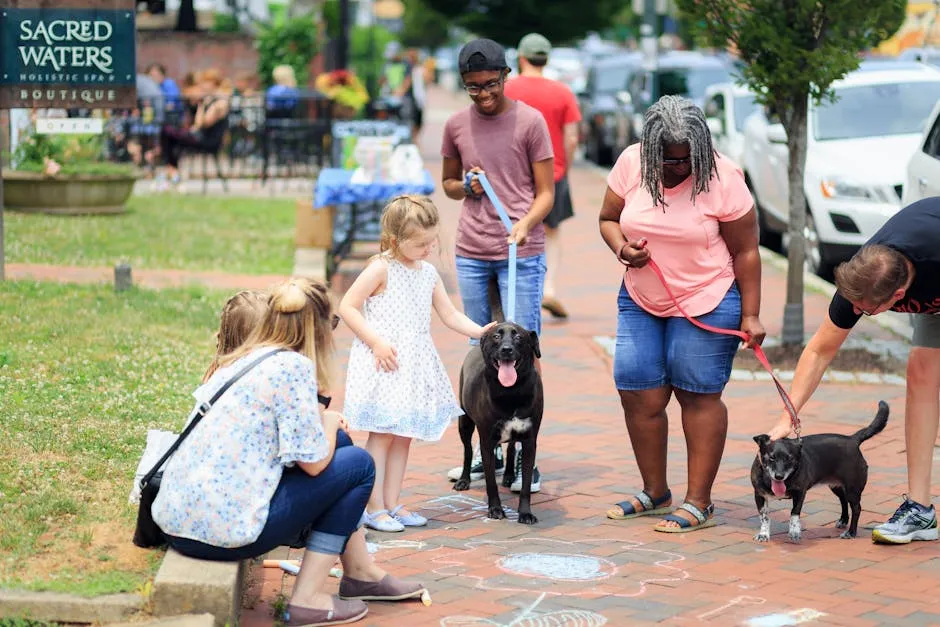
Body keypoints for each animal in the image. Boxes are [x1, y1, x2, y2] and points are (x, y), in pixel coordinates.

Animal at [456, 324, 544, 524]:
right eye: (496, 336)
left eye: (519, 337)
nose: (506, 350)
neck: (511, 391)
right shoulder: (487, 442)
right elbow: (491, 483)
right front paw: (495, 509)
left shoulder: (530, 441)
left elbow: (526, 484)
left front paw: (525, 513)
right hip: (464, 422)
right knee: (467, 451)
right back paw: (464, 479)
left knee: (511, 447)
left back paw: (509, 475)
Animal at [748, 402, 888, 544]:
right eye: (771, 458)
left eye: (790, 458)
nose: (779, 476)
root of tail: (853, 439)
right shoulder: (759, 495)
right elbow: (764, 517)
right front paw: (763, 534)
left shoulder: (800, 493)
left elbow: (794, 513)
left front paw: (794, 532)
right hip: (836, 486)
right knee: (843, 500)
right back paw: (843, 520)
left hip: (853, 489)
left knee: (856, 508)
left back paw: (851, 532)